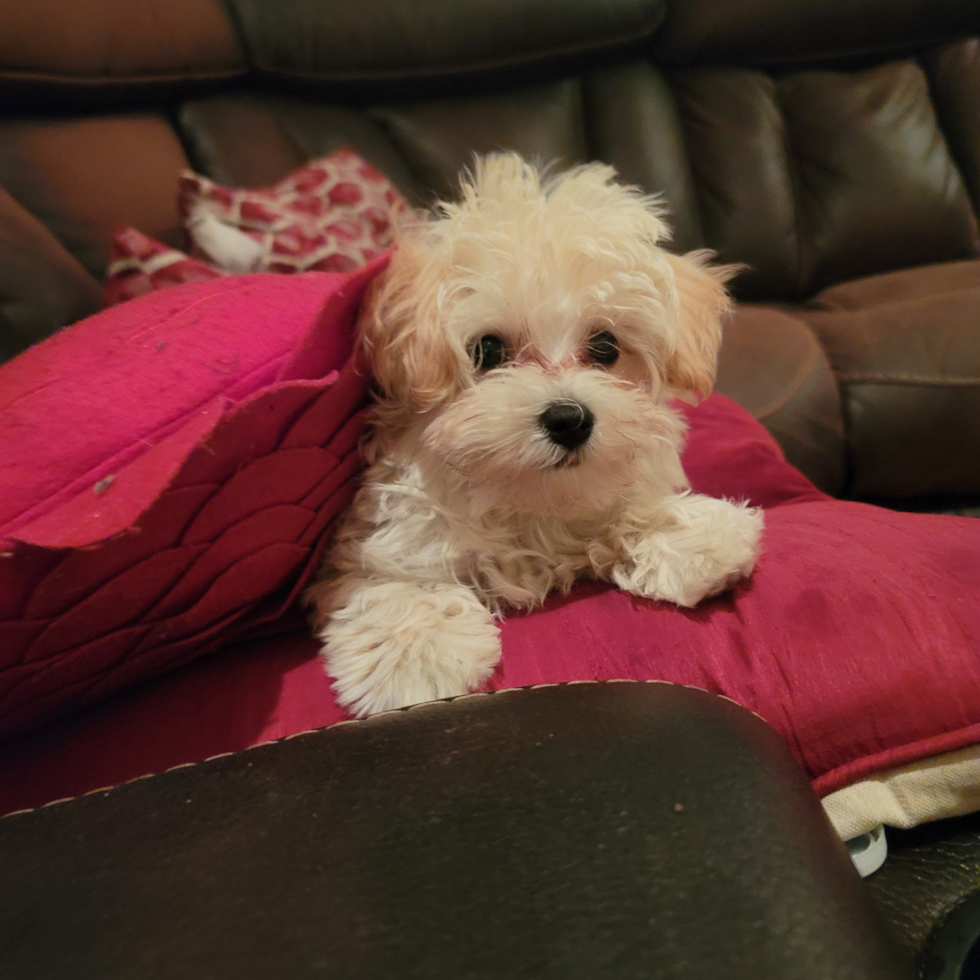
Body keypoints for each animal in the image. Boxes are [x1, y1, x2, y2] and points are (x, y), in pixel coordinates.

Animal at [302, 155, 760, 720]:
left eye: (605, 347)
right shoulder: (370, 546)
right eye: (488, 350)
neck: (525, 498)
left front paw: (694, 536)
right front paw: (415, 654)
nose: (569, 419)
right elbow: (392, 582)